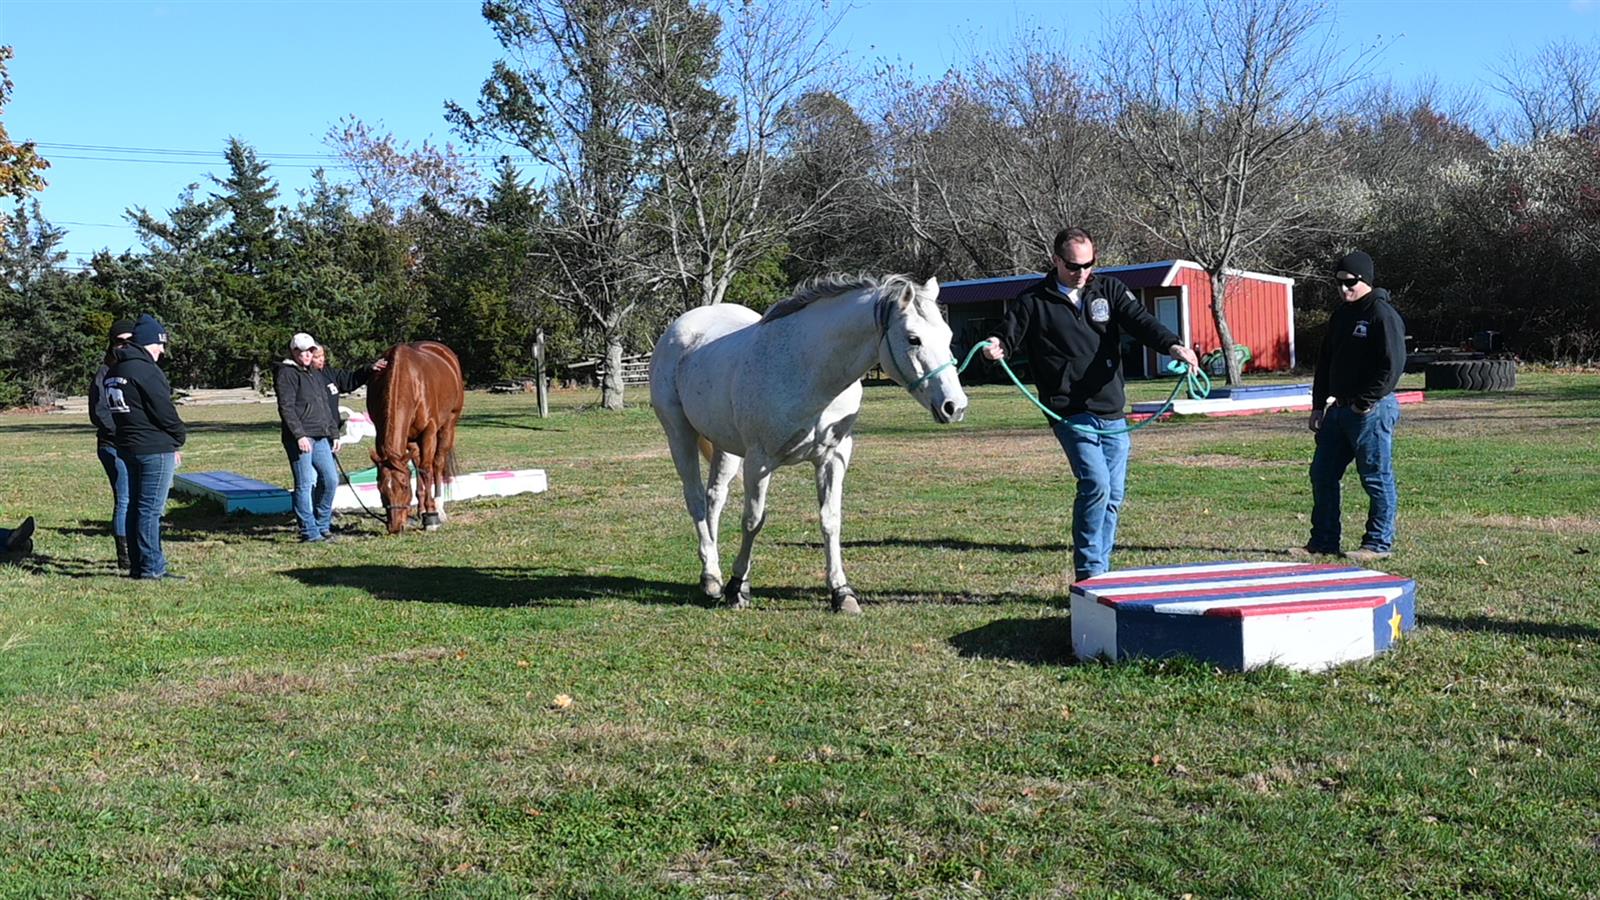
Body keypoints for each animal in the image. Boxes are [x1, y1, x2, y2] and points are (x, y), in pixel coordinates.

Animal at [367, 341, 465, 534]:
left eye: (404, 486)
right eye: (380, 487)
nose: (395, 527)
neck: (409, 381)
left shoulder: (429, 431)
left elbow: (426, 469)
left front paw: (432, 517)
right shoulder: (381, 433)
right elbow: (417, 468)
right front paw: (423, 511)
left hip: (448, 426)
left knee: (437, 464)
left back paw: (438, 507)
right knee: (417, 462)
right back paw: (421, 510)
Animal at [649, 274, 968, 614]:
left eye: (947, 335)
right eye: (913, 339)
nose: (954, 406)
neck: (810, 371)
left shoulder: (833, 458)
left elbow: (831, 521)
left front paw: (842, 592)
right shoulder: (760, 462)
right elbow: (753, 521)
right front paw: (738, 588)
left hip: (726, 445)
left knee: (714, 498)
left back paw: (711, 572)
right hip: (680, 435)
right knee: (696, 499)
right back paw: (712, 578)